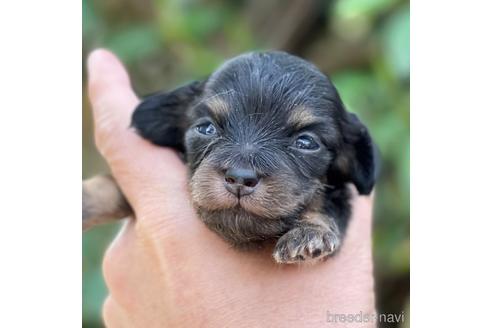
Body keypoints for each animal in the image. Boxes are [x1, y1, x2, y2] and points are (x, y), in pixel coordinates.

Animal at [82, 52, 378, 266]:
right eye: (206, 128)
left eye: (306, 142)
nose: (239, 178)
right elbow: (111, 184)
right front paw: (86, 198)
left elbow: (327, 206)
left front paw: (310, 233)